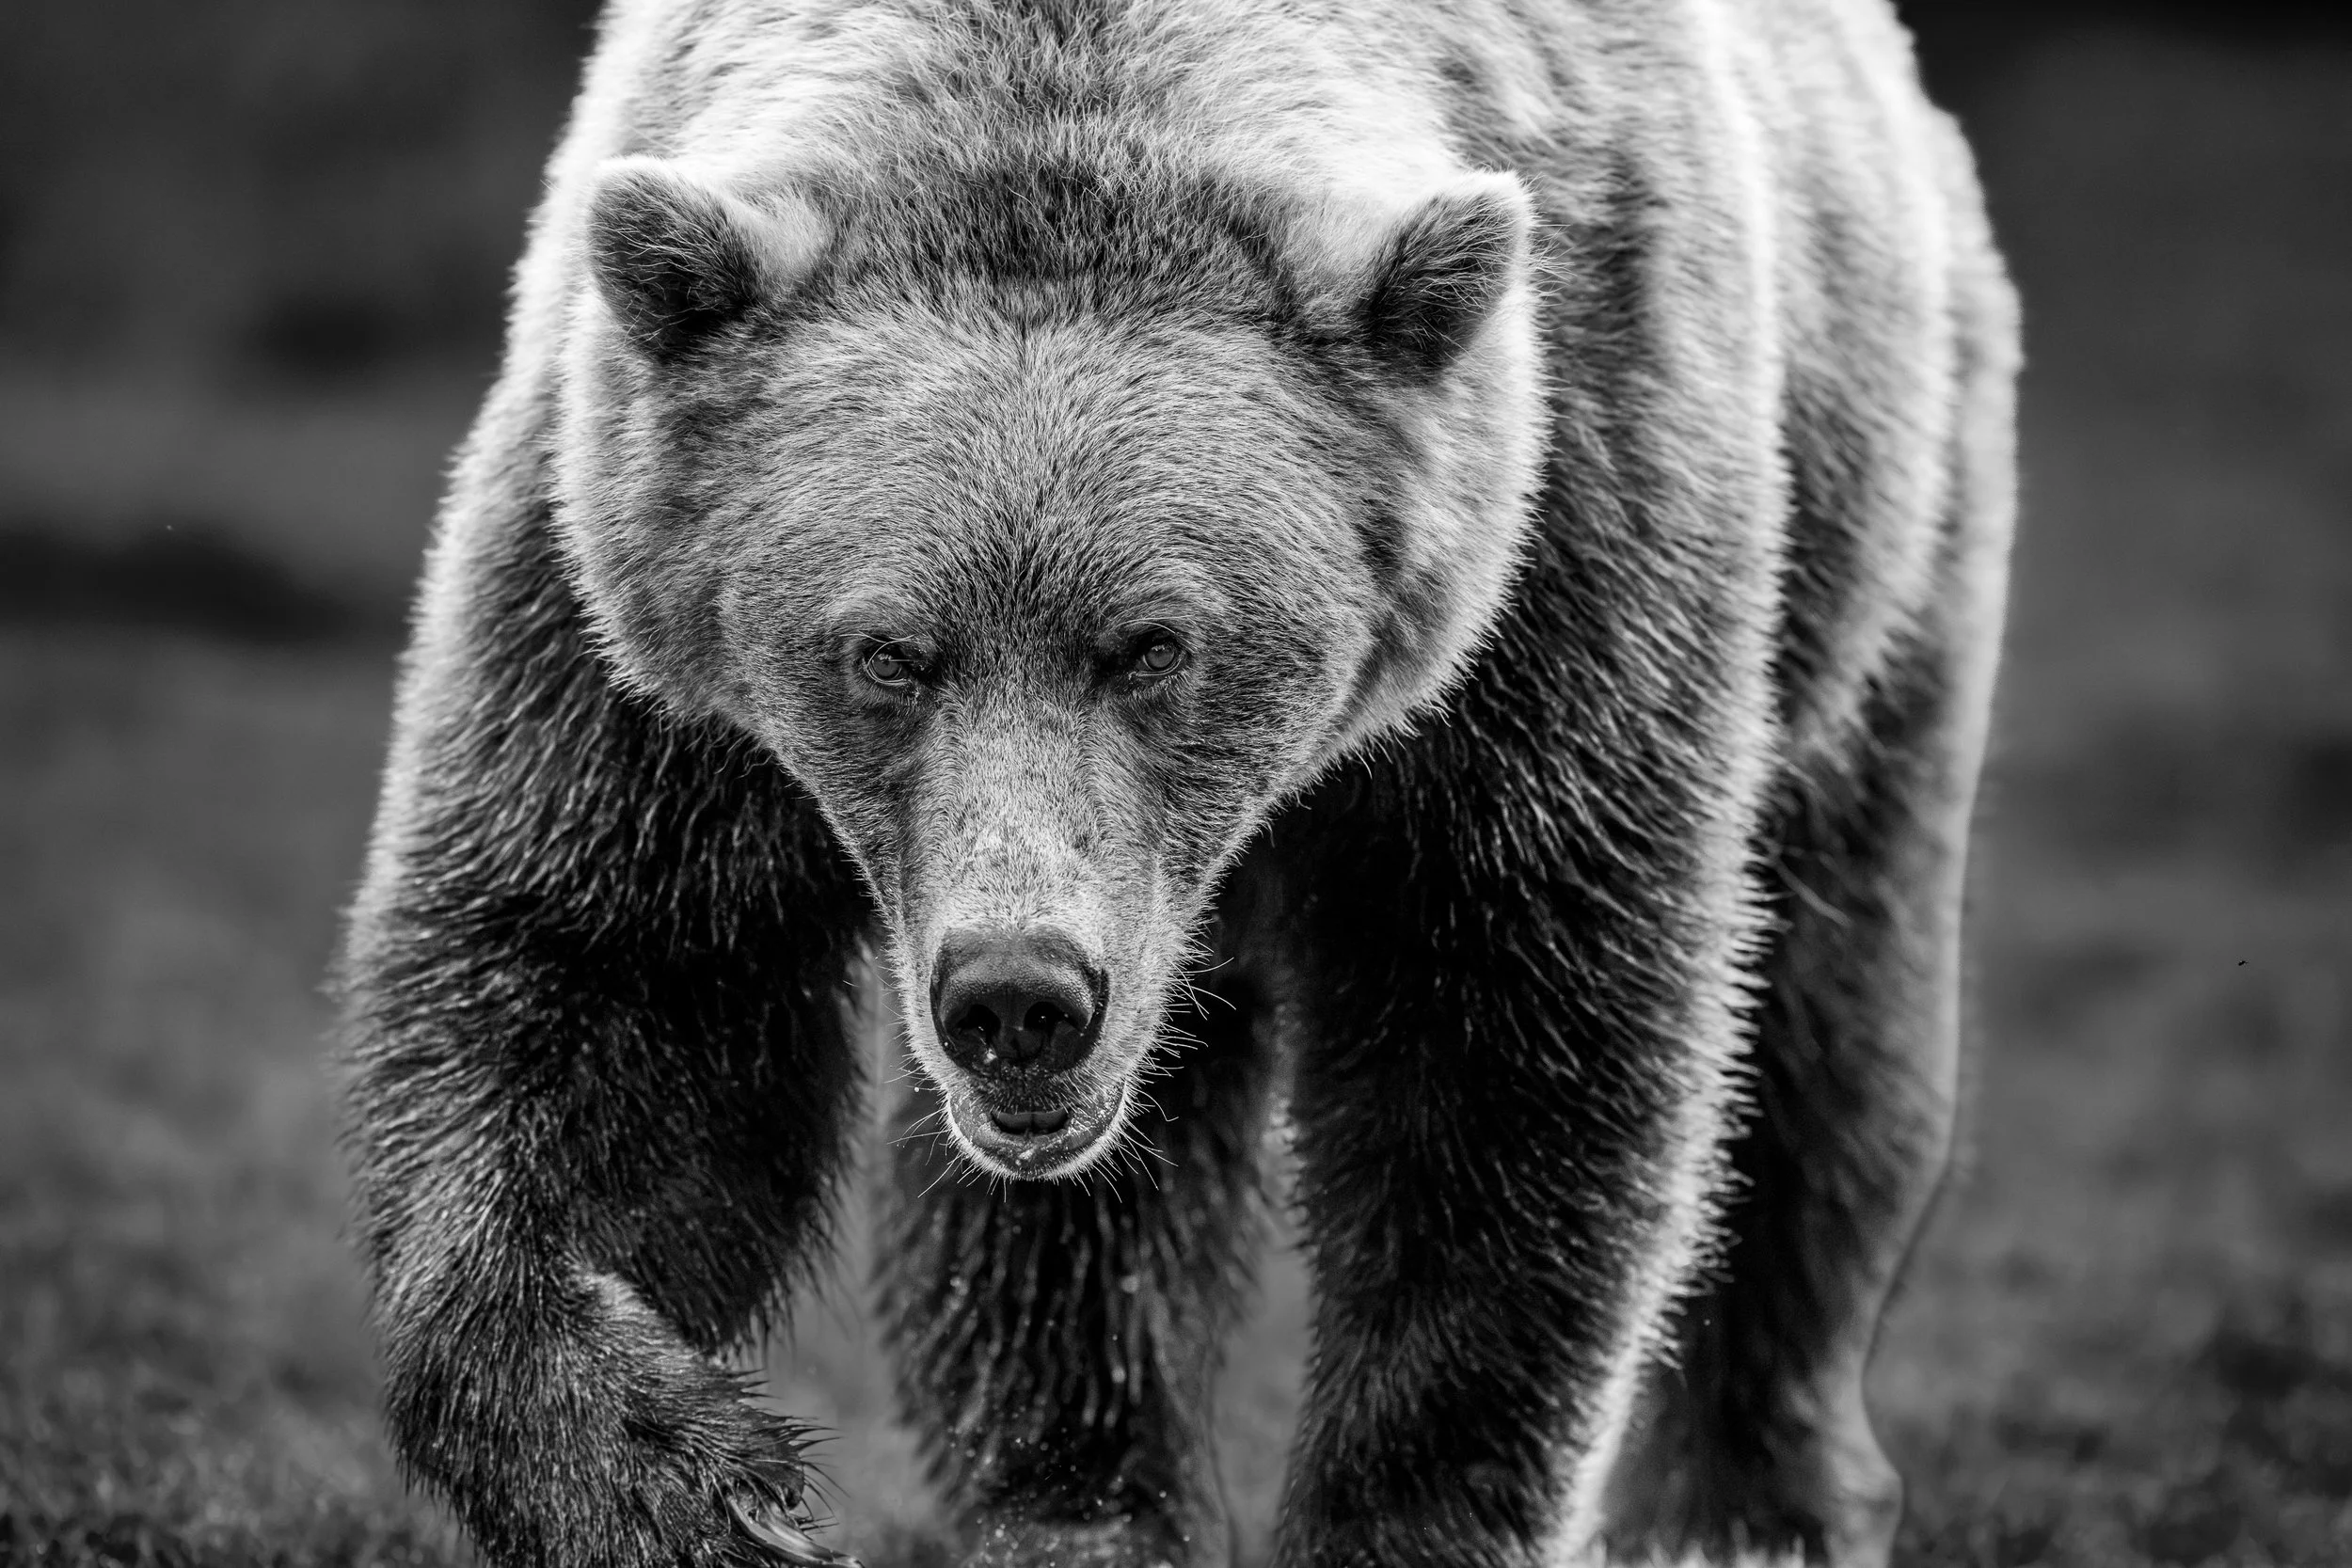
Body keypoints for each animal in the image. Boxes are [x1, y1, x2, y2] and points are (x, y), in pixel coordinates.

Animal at [335, 2, 2017, 1566]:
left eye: (1153, 643)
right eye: (889, 652)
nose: (1019, 990)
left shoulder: (1566, 548)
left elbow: (1514, 1046)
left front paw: (1410, 1510)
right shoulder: (625, 595)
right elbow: (601, 994)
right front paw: (690, 1483)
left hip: (1883, 561)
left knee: (1829, 1049)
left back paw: (1744, 1501)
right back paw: (1076, 1498)